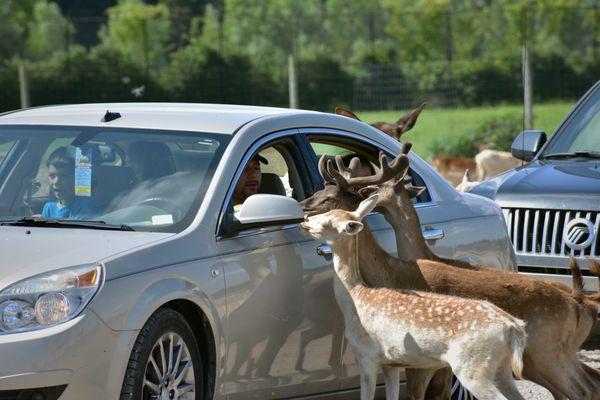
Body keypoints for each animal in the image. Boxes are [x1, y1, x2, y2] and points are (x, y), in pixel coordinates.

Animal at [300, 192, 524, 398]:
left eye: (328, 220)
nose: (304, 221)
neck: (356, 297)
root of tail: (513, 328)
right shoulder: (391, 363)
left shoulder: (367, 356)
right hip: (500, 369)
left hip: (474, 367)